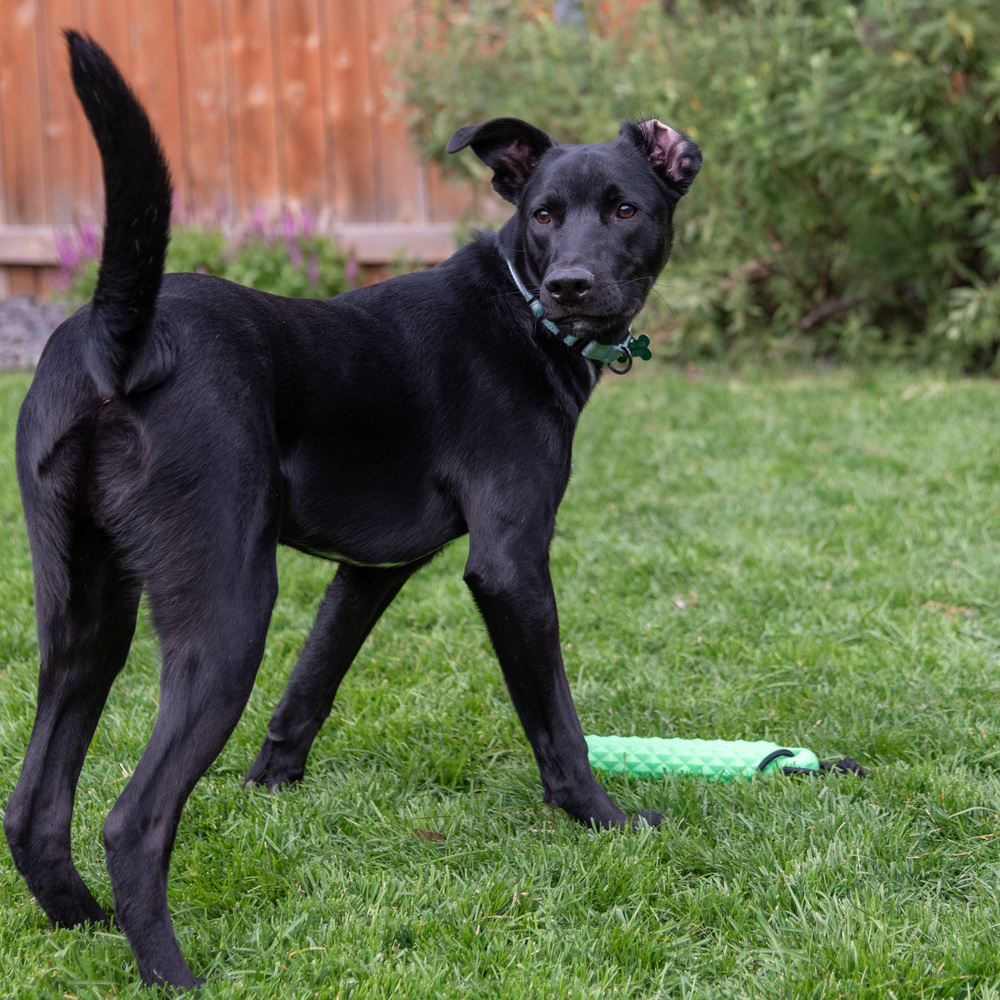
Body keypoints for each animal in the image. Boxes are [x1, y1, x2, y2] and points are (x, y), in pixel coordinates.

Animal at [3, 31, 700, 992]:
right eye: (544, 215)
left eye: (625, 208)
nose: (569, 284)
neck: (516, 308)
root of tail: (123, 338)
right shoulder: (511, 568)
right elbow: (557, 722)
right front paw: (602, 818)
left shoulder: (370, 572)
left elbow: (311, 684)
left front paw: (268, 789)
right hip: (228, 611)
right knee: (131, 819)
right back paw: (172, 973)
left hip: (84, 617)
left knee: (33, 806)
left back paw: (82, 922)